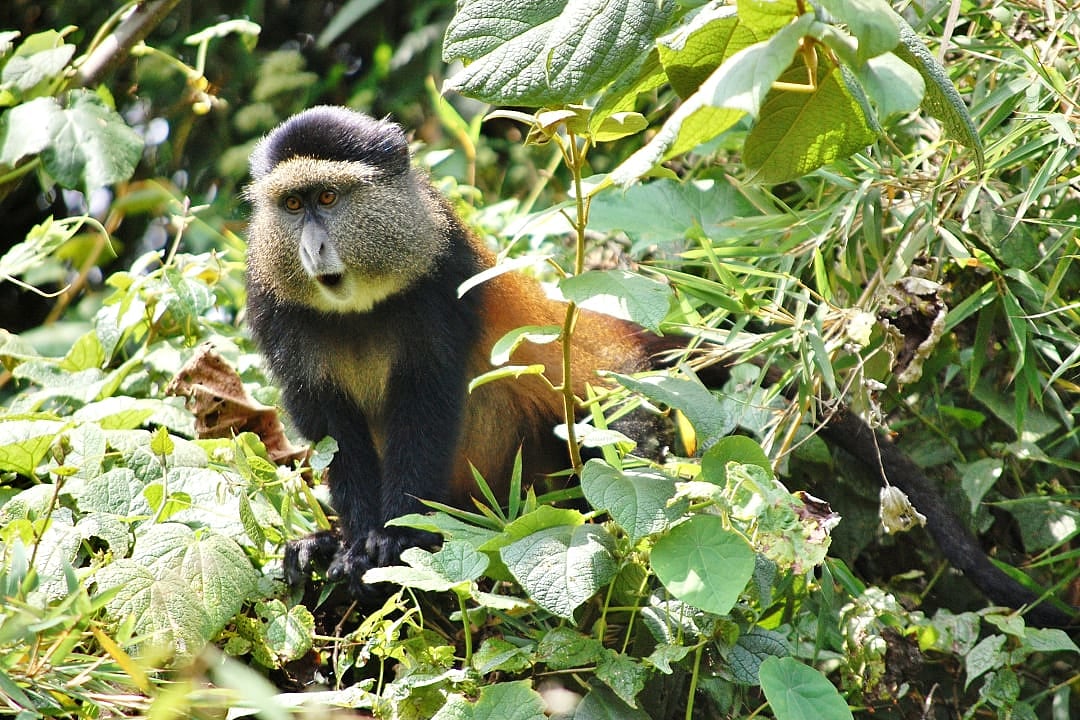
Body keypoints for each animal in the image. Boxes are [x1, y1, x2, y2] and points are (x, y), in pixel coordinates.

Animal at [245, 107, 1076, 628]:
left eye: (331, 197)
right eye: (293, 208)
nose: (314, 247)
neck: (365, 303)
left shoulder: (441, 283)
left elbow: (429, 407)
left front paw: (389, 545)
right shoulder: (274, 309)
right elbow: (333, 434)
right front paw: (347, 545)